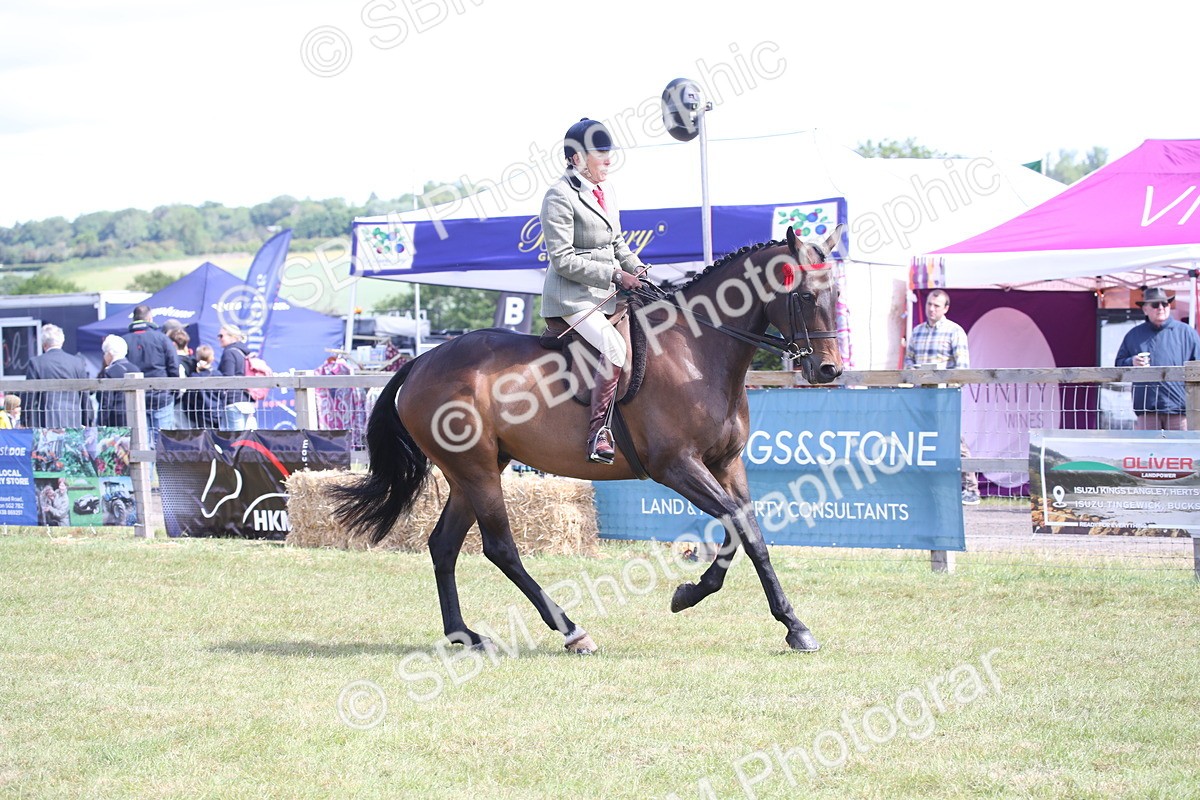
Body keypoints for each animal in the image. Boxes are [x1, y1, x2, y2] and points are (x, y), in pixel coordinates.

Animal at [332, 224, 845, 654]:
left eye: (836, 293)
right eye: (804, 295)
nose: (828, 371)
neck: (697, 351)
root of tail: (420, 362)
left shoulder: (727, 463)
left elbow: (750, 532)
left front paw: (788, 623)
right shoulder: (677, 466)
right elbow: (739, 526)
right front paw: (694, 597)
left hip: (472, 472)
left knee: (443, 545)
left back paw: (464, 635)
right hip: (476, 472)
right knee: (500, 548)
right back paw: (572, 631)